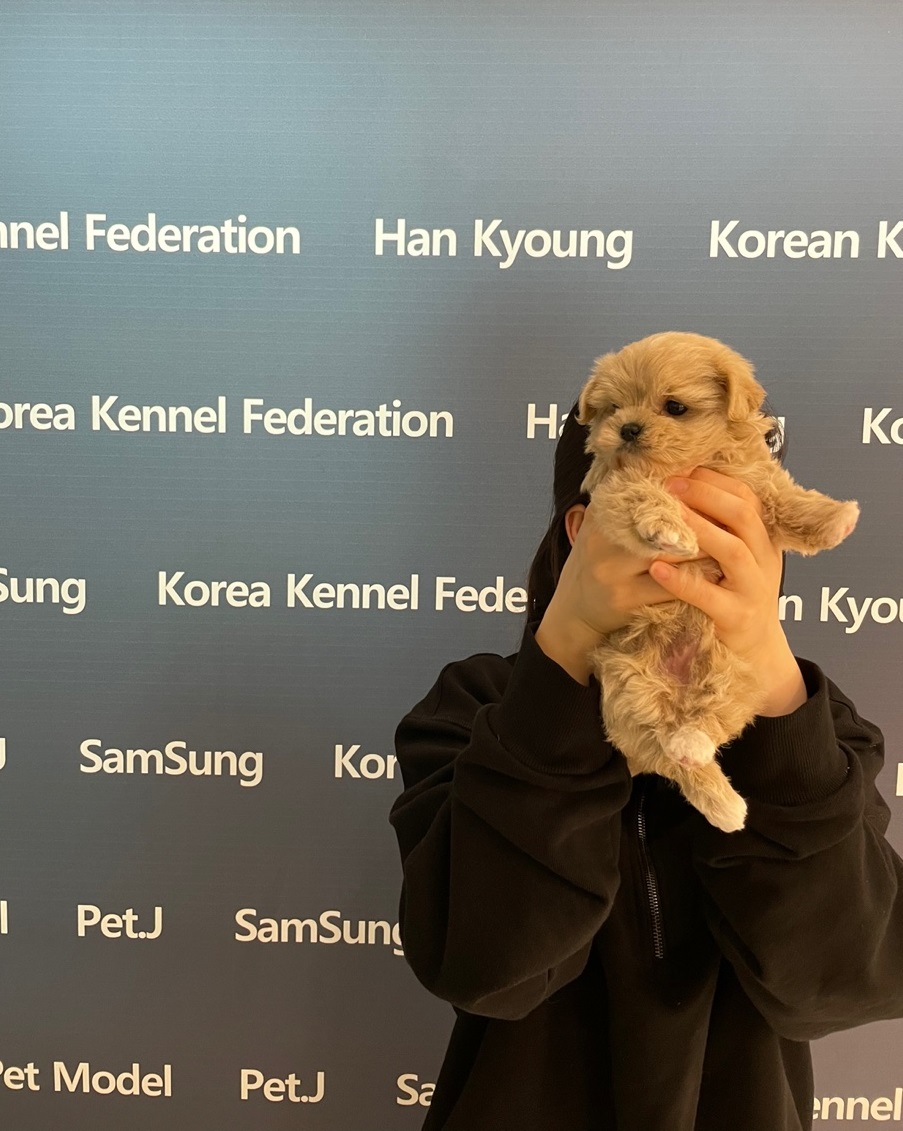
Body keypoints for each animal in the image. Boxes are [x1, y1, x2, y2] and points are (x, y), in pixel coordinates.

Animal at [576, 331, 859, 832]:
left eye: (674, 407)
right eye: (613, 408)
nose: (628, 428)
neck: (689, 465)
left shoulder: (753, 485)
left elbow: (787, 498)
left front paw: (834, 519)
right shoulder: (612, 490)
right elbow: (639, 492)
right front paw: (668, 528)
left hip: (737, 674)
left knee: (707, 725)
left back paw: (704, 763)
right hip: (625, 684)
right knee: (670, 753)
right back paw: (718, 796)